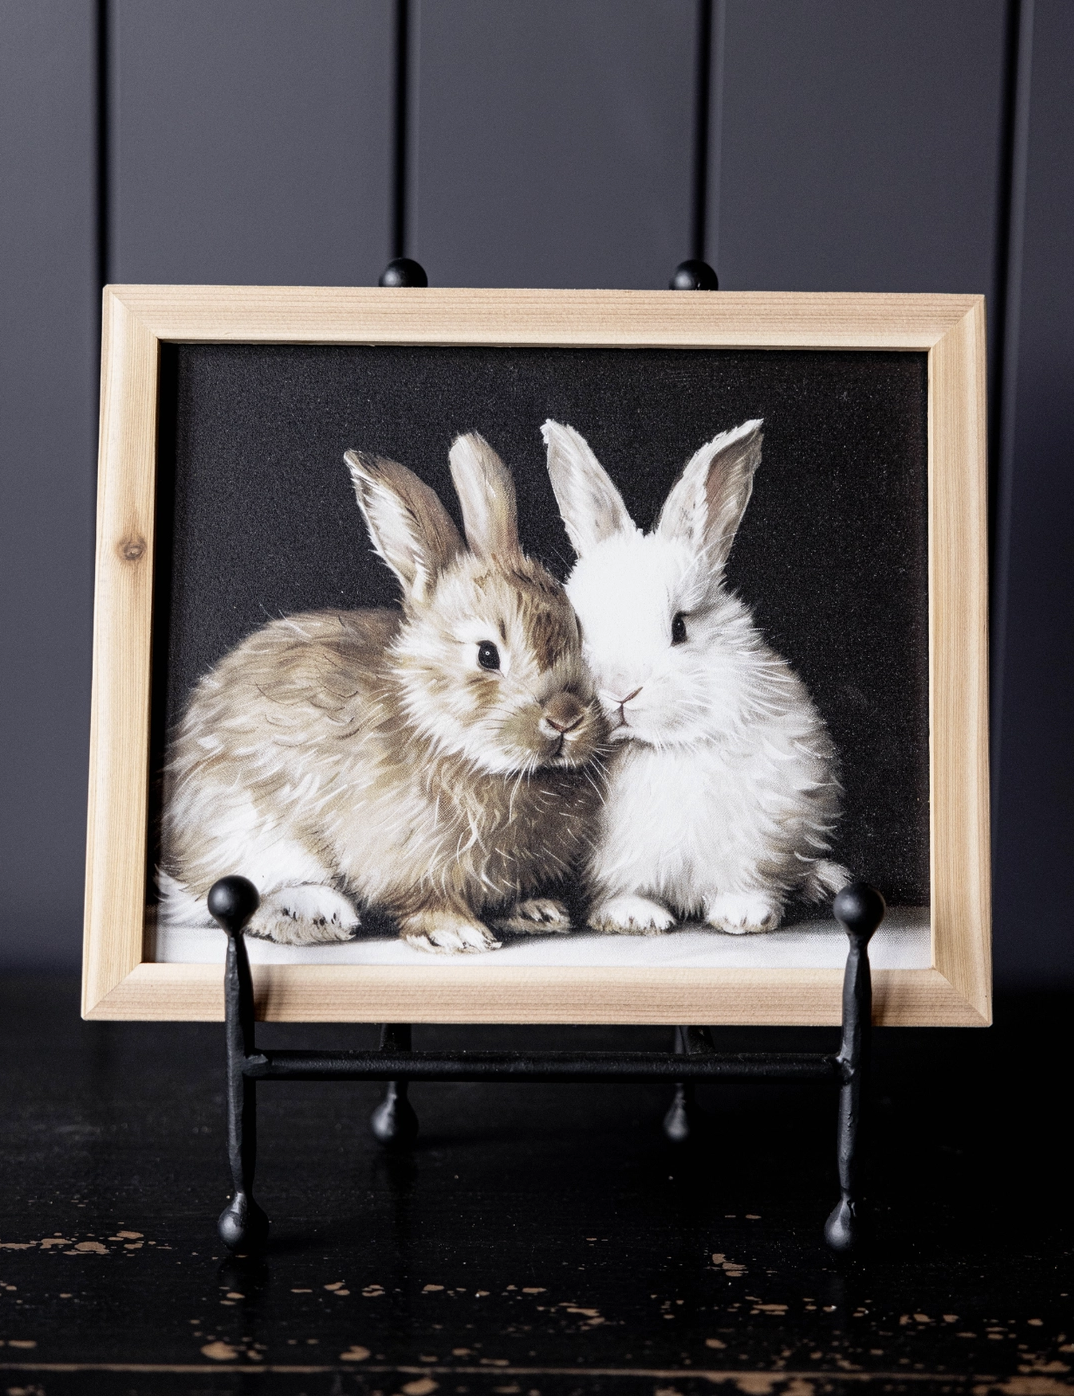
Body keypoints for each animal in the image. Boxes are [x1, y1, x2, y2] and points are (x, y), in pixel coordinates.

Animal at [159, 432, 609, 953]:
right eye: (487, 655)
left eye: (578, 633)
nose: (566, 717)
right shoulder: (404, 857)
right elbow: (423, 899)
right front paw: (456, 933)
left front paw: (536, 911)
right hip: (249, 833)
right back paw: (316, 915)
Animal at [541, 416, 849, 935]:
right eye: (577, 628)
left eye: (680, 627)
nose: (620, 691)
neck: (654, 748)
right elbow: (622, 889)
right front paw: (634, 917)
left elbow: (747, 880)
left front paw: (745, 915)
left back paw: (824, 882)